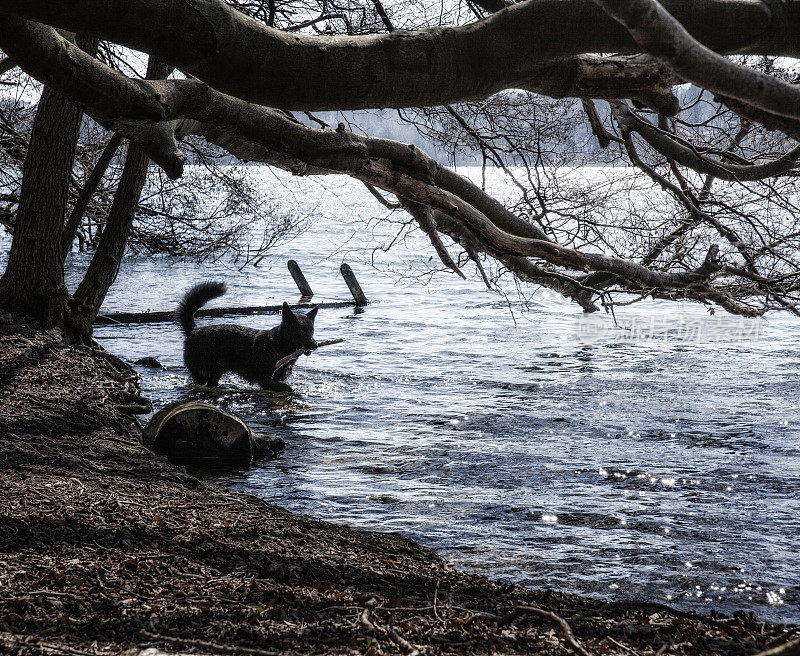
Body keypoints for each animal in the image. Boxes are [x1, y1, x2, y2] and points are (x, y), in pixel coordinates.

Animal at [178, 280, 318, 392]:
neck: (277, 345)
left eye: (312, 331)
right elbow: (288, 388)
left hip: (216, 371)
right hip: (203, 372)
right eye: (301, 331)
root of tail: (194, 330)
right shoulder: (266, 380)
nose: (315, 345)